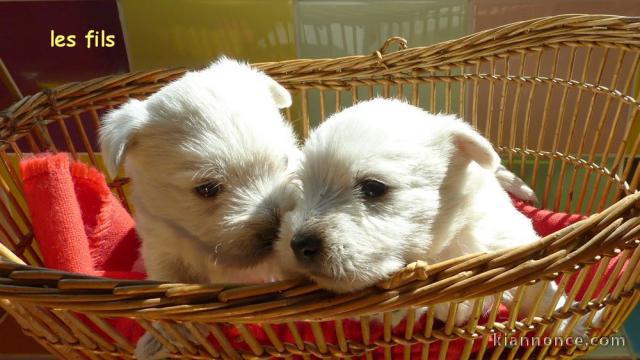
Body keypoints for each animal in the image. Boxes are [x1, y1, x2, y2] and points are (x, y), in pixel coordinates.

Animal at [100, 58, 300, 358]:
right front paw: (159, 339)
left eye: (285, 162)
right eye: (207, 188)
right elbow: (167, 286)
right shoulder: (162, 249)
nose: (276, 229)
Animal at [276, 98, 564, 326]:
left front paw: (568, 325)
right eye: (303, 189)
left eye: (373, 187)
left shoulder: (511, 239)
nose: (299, 244)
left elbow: (543, 291)